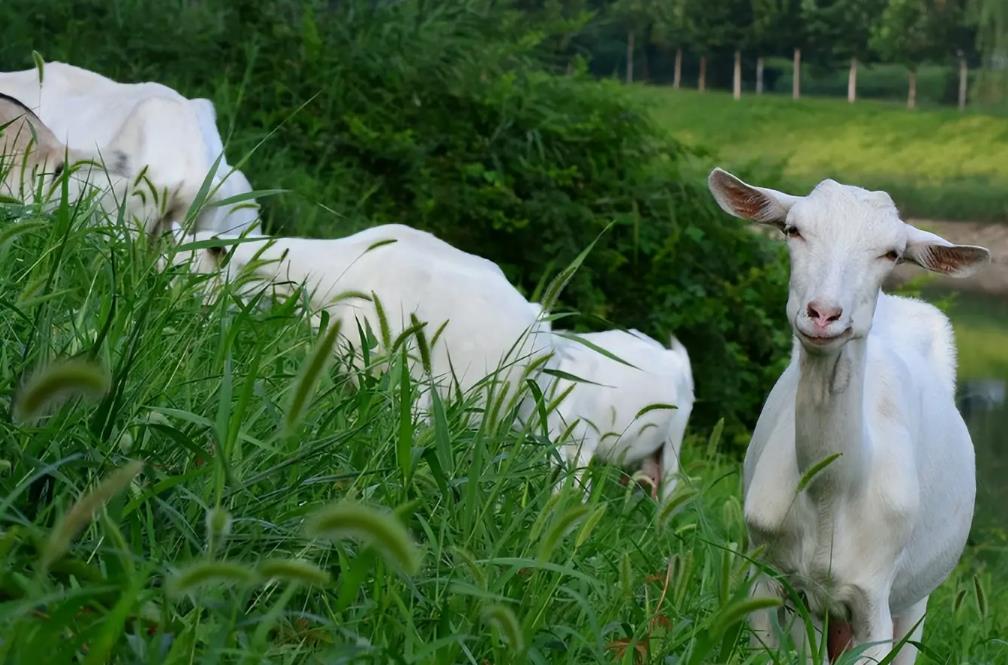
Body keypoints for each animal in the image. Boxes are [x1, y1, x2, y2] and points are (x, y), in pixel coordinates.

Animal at [713, 167, 987, 665]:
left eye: (892, 252)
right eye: (792, 230)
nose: (824, 314)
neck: (830, 495)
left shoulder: (874, 594)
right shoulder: (769, 573)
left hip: (916, 598)